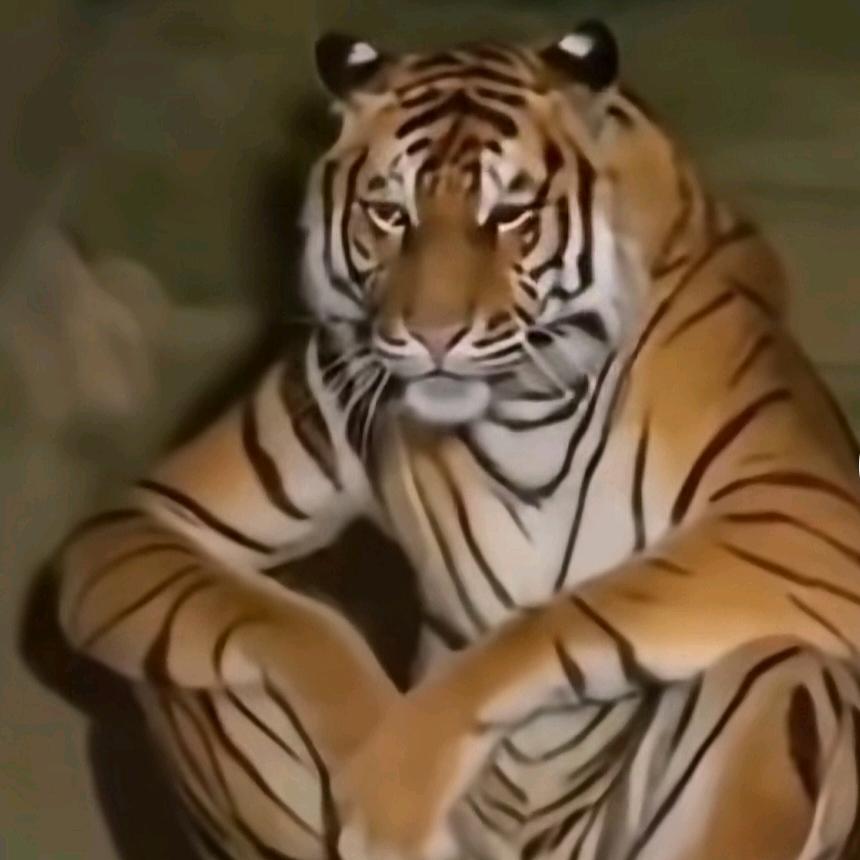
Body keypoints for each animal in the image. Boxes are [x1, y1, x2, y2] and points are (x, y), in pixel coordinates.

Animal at [56, 19, 860, 860]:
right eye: (390, 214)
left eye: (506, 217)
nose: (432, 335)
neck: (525, 406)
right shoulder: (156, 517)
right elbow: (300, 622)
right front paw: (373, 757)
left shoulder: (804, 515)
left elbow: (559, 620)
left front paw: (396, 780)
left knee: (777, 657)